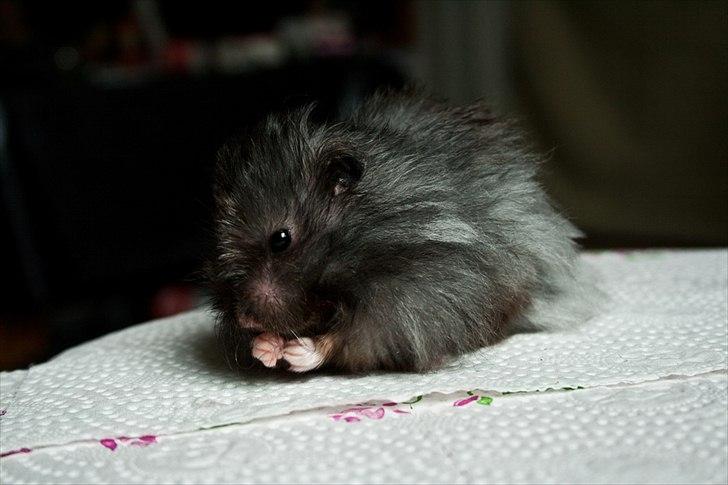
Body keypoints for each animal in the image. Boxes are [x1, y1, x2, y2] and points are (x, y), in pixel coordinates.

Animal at [206, 90, 595, 373]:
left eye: (281, 239)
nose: (244, 317)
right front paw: (265, 347)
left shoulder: (411, 301)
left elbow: (348, 339)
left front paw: (297, 352)